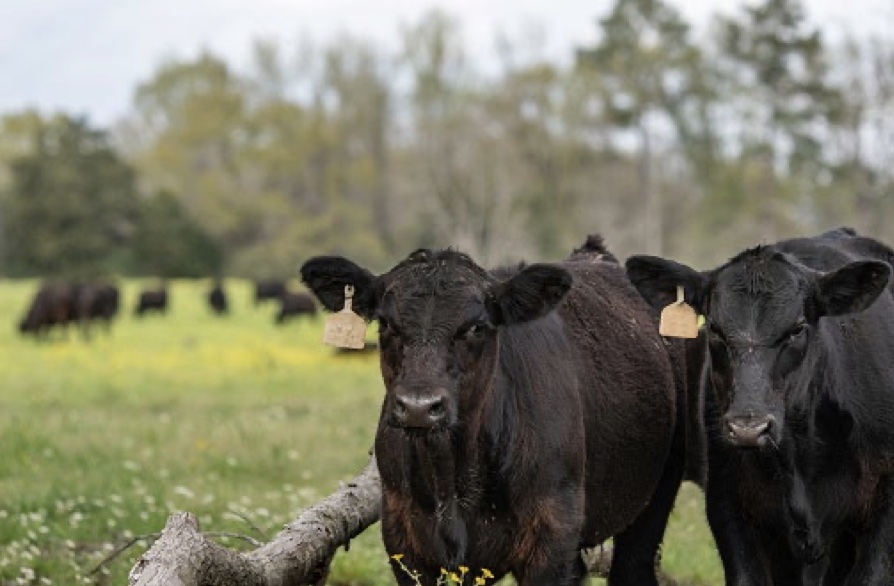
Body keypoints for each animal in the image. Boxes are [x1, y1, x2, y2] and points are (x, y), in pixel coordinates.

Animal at [304, 234, 688, 584]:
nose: (418, 407)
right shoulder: (404, 541)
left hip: (652, 498)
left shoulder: (552, 539)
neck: (456, 481)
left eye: (476, 326)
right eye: (386, 324)